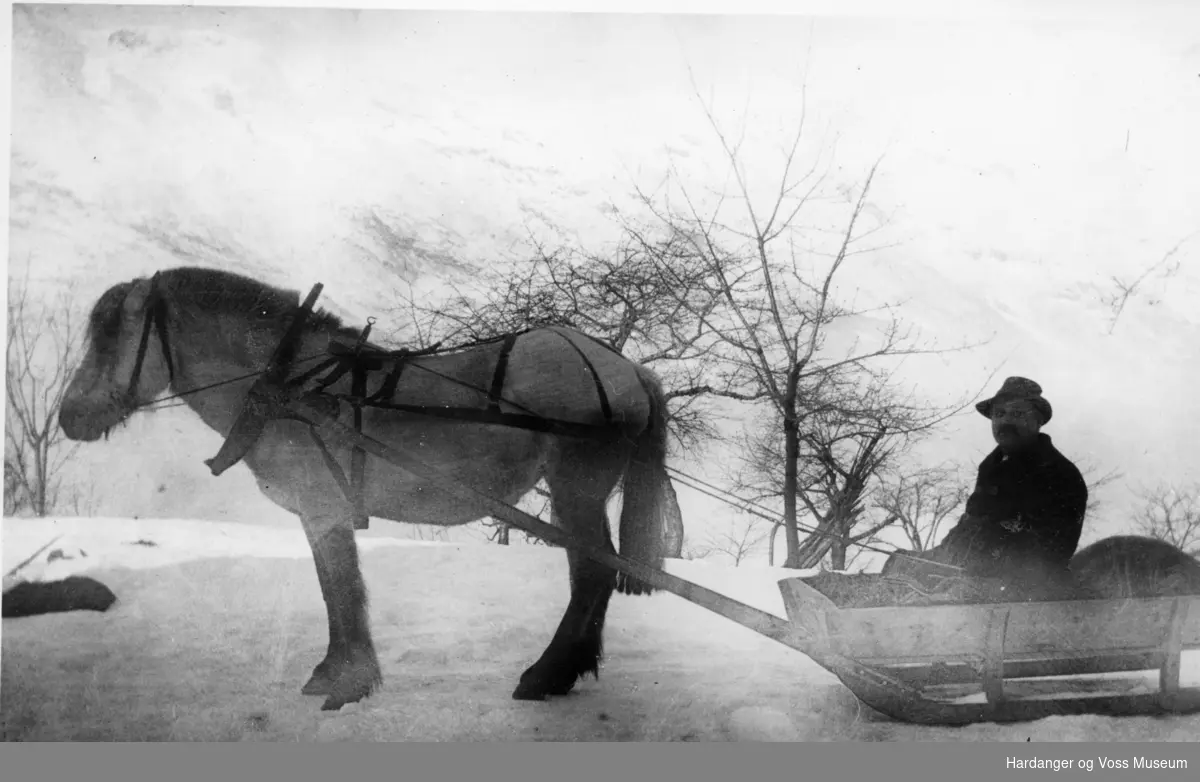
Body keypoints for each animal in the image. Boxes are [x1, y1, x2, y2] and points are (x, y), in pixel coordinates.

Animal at [58, 266, 676, 710]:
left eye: (112, 338)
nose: (70, 417)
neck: (289, 385)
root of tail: (625, 368)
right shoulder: (317, 513)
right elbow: (333, 591)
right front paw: (335, 672)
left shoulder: (324, 507)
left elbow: (343, 590)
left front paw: (347, 681)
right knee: (588, 572)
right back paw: (567, 669)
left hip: (576, 487)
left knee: (592, 572)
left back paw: (545, 675)